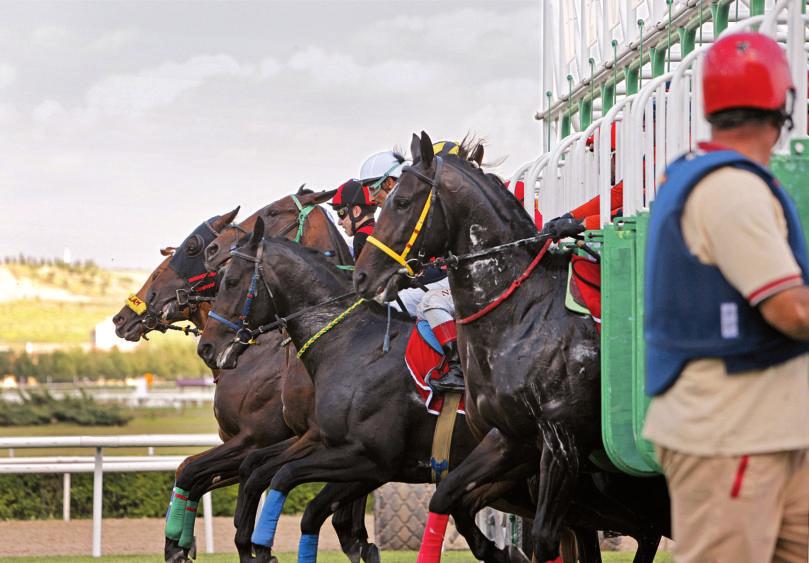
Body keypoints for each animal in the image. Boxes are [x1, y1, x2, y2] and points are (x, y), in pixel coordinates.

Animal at [111, 192, 376, 560]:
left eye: (191, 248)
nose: (121, 319)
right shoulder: (246, 444)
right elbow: (194, 475)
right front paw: (181, 544)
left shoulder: (259, 438)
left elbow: (197, 471)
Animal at [354, 134, 668, 560]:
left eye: (401, 202)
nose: (362, 276)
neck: (523, 316)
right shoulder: (512, 440)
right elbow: (448, 498)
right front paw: (496, 550)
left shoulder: (561, 445)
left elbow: (544, 538)